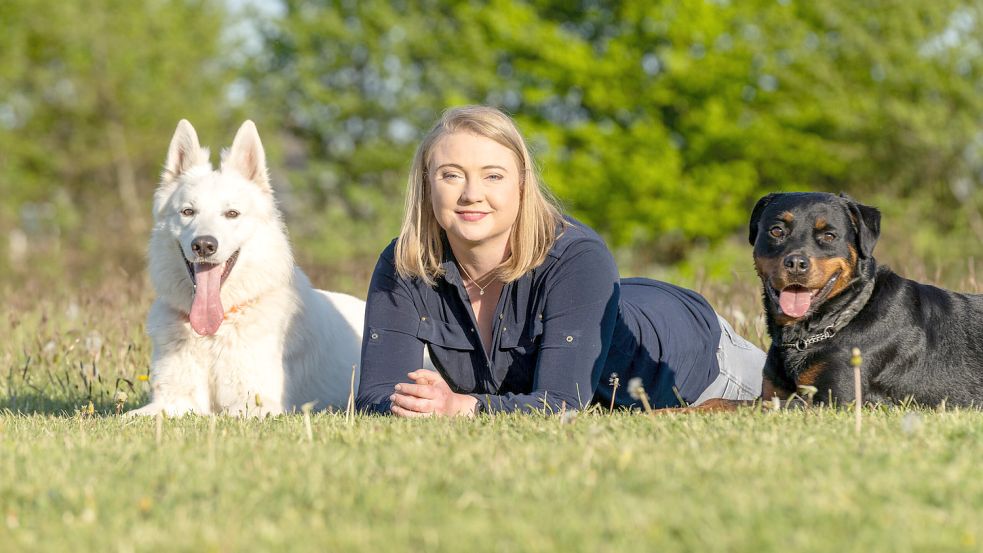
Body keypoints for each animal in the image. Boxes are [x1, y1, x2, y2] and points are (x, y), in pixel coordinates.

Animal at [127, 119, 366, 414]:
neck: (215, 330)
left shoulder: (255, 405)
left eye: (232, 214)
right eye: (187, 212)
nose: (203, 245)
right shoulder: (172, 400)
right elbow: (130, 416)